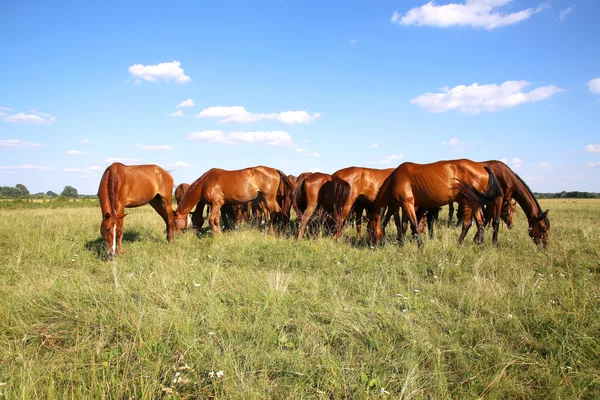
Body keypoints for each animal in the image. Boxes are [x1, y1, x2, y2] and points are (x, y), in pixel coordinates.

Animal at [368, 159, 504, 247]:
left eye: (369, 230)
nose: (372, 246)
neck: (395, 179)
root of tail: (483, 168)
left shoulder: (408, 203)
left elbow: (414, 225)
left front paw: (420, 245)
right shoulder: (403, 205)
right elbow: (404, 225)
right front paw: (401, 244)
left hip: (469, 202)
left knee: (467, 224)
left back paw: (459, 244)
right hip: (475, 203)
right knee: (480, 223)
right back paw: (480, 245)